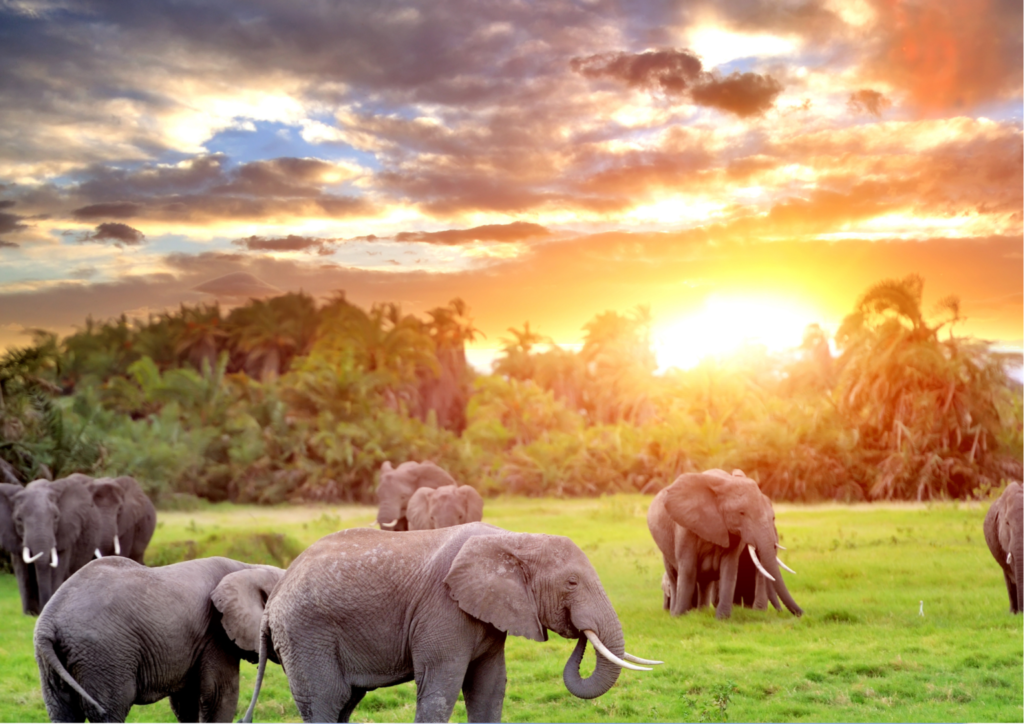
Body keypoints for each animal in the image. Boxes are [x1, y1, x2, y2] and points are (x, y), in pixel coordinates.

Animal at [0, 479, 102, 614]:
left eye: (56, 517)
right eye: (19, 519)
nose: (42, 608)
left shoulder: (66, 531)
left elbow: (56, 569)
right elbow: (23, 572)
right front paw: (29, 614)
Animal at [35, 557, 284, 720]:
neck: (249, 568)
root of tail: (48, 622)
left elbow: (187, 702)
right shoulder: (215, 635)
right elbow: (219, 697)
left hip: (53, 661)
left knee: (61, 711)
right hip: (104, 655)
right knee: (109, 710)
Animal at [240, 524, 659, 720]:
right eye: (571, 583)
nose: (580, 631)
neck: (513, 539)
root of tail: (273, 600)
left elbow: (489, 688)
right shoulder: (442, 610)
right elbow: (441, 688)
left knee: (344, 702)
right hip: (305, 633)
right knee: (326, 700)